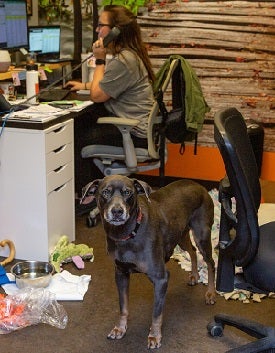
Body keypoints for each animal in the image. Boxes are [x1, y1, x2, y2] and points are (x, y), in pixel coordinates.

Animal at [81, 175, 217, 348]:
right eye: (105, 192)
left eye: (128, 192)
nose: (117, 211)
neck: (128, 234)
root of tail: (199, 185)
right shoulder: (121, 274)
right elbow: (123, 307)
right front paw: (120, 328)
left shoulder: (160, 278)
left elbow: (156, 313)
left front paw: (154, 336)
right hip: (180, 236)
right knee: (192, 251)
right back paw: (194, 275)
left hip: (202, 236)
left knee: (211, 263)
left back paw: (211, 293)